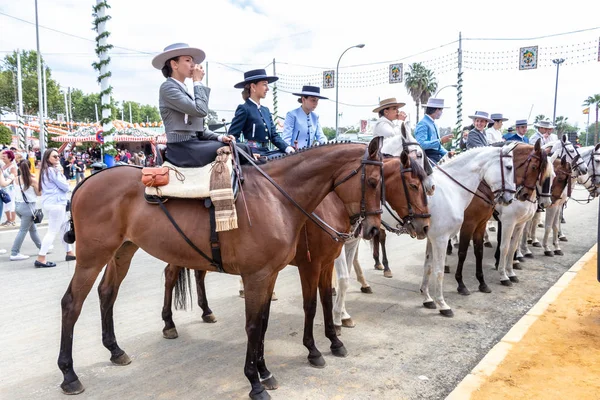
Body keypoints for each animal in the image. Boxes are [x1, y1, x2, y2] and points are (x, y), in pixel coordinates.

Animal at [57, 139, 384, 398]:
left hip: (123, 250)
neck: (276, 198)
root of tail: (89, 180)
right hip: (92, 257)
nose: (372, 229)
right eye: (373, 182)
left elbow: (265, 321)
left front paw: (265, 371)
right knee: (72, 303)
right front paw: (256, 381)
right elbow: (256, 325)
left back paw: (115, 350)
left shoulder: (273, 274)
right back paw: (69, 374)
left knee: (107, 293)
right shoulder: (266, 274)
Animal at [157, 151, 428, 368]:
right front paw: (314, 349)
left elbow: (326, 299)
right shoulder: (311, 265)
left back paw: (206, 311)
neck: (329, 204)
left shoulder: (327, 261)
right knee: (171, 275)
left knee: (199, 273)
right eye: (413, 185)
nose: (424, 226)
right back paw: (169, 323)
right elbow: (312, 304)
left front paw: (335, 338)